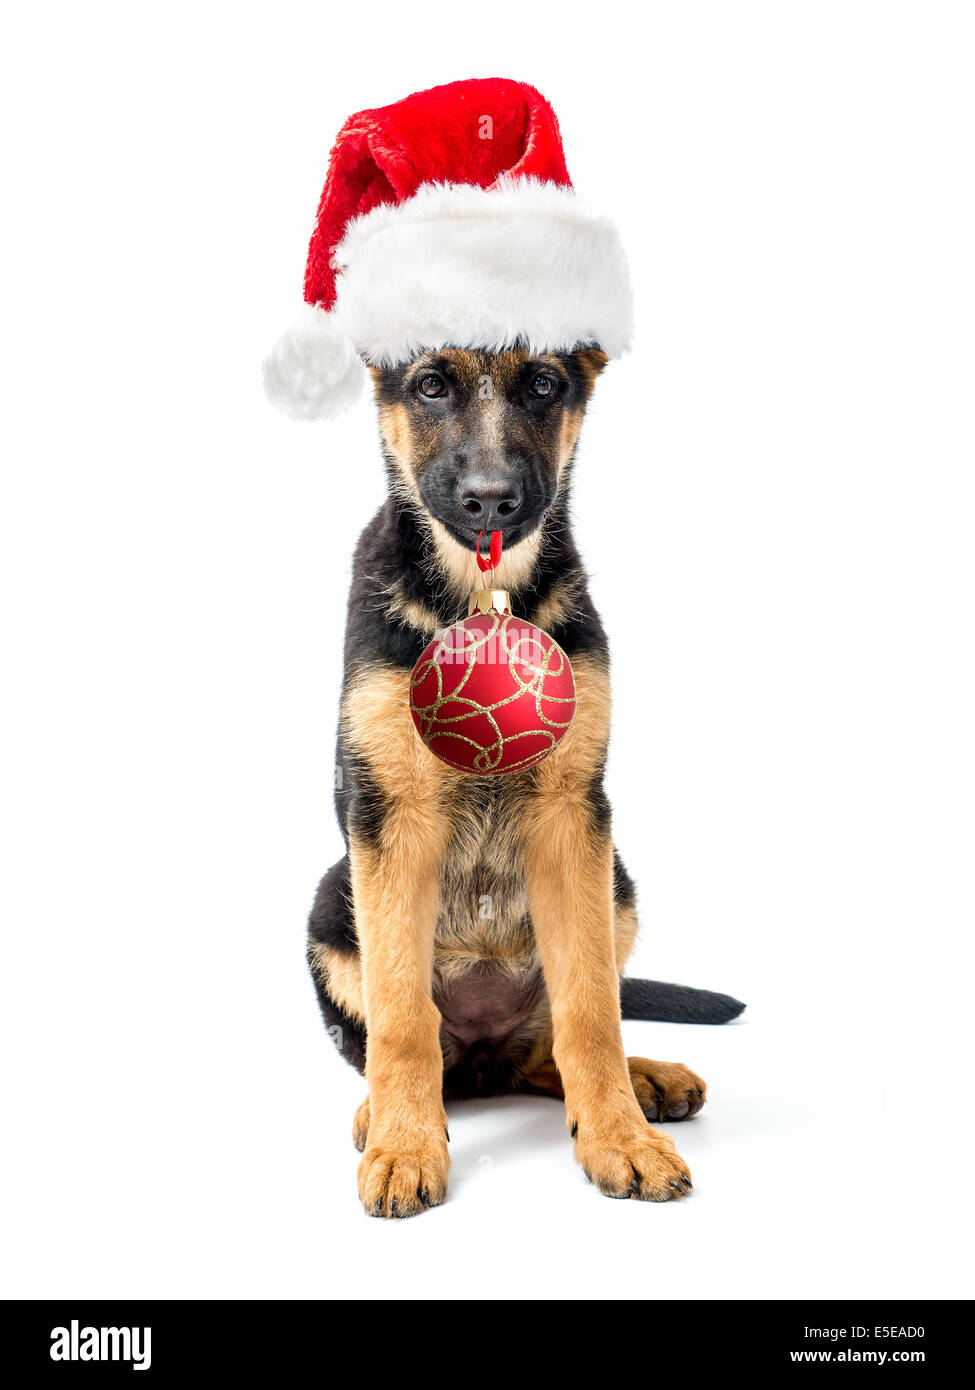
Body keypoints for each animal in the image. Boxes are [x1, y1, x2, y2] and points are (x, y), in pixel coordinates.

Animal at [307, 344, 739, 1217]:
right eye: (430, 385)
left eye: (542, 383)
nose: (490, 500)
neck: (483, 593)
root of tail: (484, 1058)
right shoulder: (388, 819)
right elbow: (401, 1015)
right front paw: (405, 1143)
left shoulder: (573, 819)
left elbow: (591, 1011)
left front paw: (618, 1137)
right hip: (332, 901)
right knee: (406, 1042)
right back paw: (382, 1110)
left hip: (617, 884)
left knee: (552, 1045)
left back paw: (643, 1082)